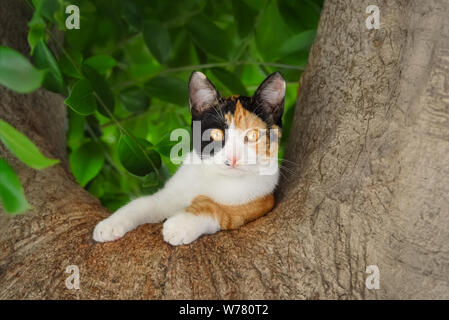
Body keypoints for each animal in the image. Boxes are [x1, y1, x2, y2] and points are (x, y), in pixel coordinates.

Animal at [93, 71, 286, 245]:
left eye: (253, 136)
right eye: (216, 134)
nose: (233, 158)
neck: (214, 175)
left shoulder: (261, 202)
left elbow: (218, 208)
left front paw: (180, 225)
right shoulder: (169, 194)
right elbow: (145, 203)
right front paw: (110, 224)